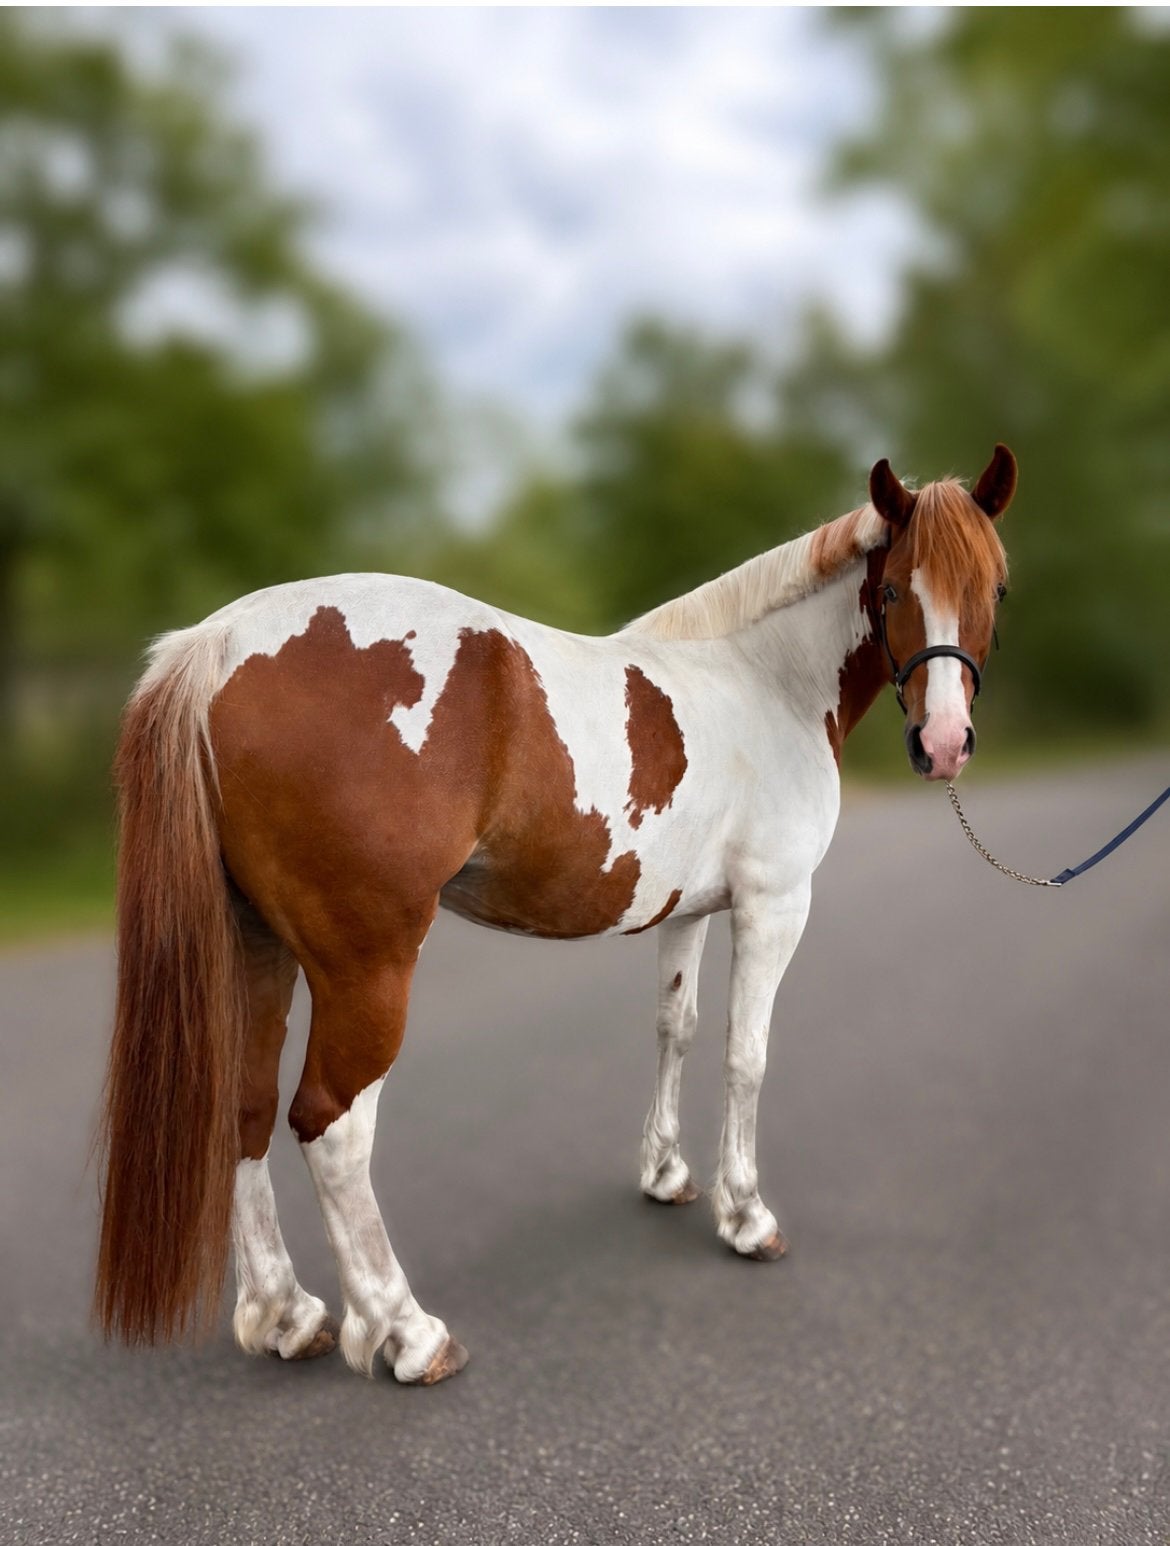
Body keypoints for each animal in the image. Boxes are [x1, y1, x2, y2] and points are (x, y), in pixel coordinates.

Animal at [95, 445, 1016, 1386]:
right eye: (894, 589)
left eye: (996, 587)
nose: (944, 744)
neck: (766, 682)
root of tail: (217, 644)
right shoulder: (774, 905)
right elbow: (747, 1055)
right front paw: (746, 1217)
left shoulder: (688, 911)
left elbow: (676, 1029)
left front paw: (666, 1173)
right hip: (365, 967)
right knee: (333, 1129)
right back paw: (408, 1331)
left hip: (259, 945)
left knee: (244, 1107)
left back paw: (286, 1315)